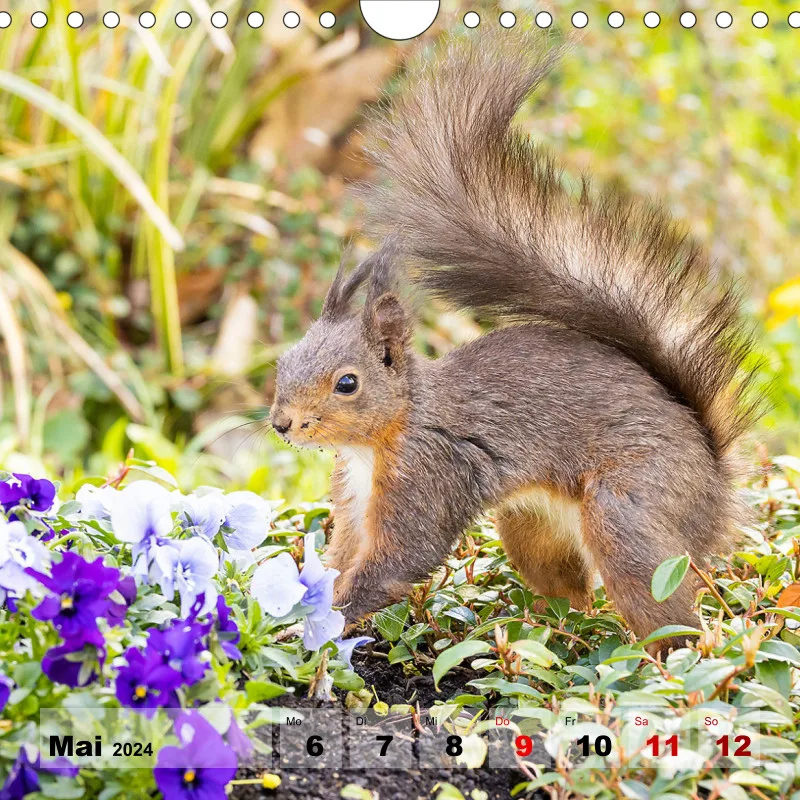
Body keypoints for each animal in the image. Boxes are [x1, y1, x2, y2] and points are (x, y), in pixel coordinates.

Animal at [269, 31, 761, 654]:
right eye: (283, 361)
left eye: (347, 383)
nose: (282, 422)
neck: (383, 434)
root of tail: (716, 490)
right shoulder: (355, 497)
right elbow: (340, 556)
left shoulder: (428, 471)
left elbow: (399, 562)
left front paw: (315, 630)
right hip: (532, 526)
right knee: (573, 597)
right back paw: (549, 635)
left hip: (632, 511)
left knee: (669, 614)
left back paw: (661, 658)